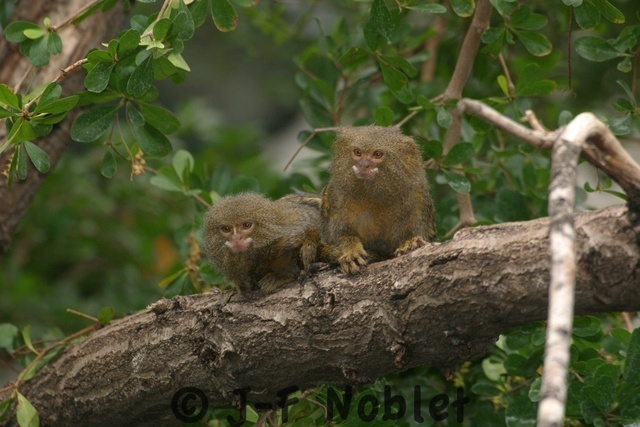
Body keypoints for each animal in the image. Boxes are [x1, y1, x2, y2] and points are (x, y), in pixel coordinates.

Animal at [321, 125, 436, 274]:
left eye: (377, 154)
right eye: (357, 152)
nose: (363, 165)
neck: (374, 195)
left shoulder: (418, 197)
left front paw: (411, 242)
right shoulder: (336, 196)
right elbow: (341, 234)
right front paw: (351, 251)